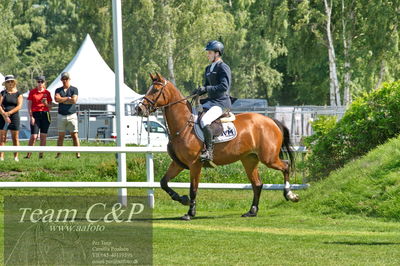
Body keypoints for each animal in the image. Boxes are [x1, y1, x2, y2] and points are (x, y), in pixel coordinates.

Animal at [136, 72, 298, 220]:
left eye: (155, 90)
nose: (139, 109)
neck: (183, 126)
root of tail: (271, 121)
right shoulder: (178, 163)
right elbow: (163, 182)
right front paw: (182, 199)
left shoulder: (195, 164)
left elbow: (193, 188)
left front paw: (190, 212)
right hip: (249, 160)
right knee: (257, 184)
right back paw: (252, 211)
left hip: (268, 158)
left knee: (286, 166)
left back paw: (290, 195)